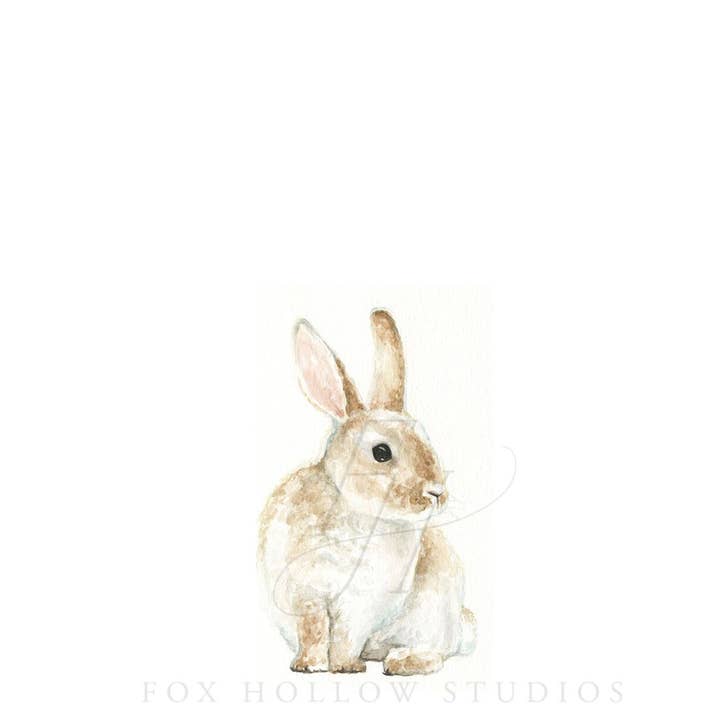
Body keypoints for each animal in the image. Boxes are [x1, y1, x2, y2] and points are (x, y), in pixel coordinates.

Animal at [258, 309, 477, 675]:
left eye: (426, 438)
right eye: (381, 452)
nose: (436, 492)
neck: (357, 511)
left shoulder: (361, 606)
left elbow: (346, 637)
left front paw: (345, 666)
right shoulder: (305, 592)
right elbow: (313, 628)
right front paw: (309, 665)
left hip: (435, 615)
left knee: (438, 651)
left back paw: (402, 661)